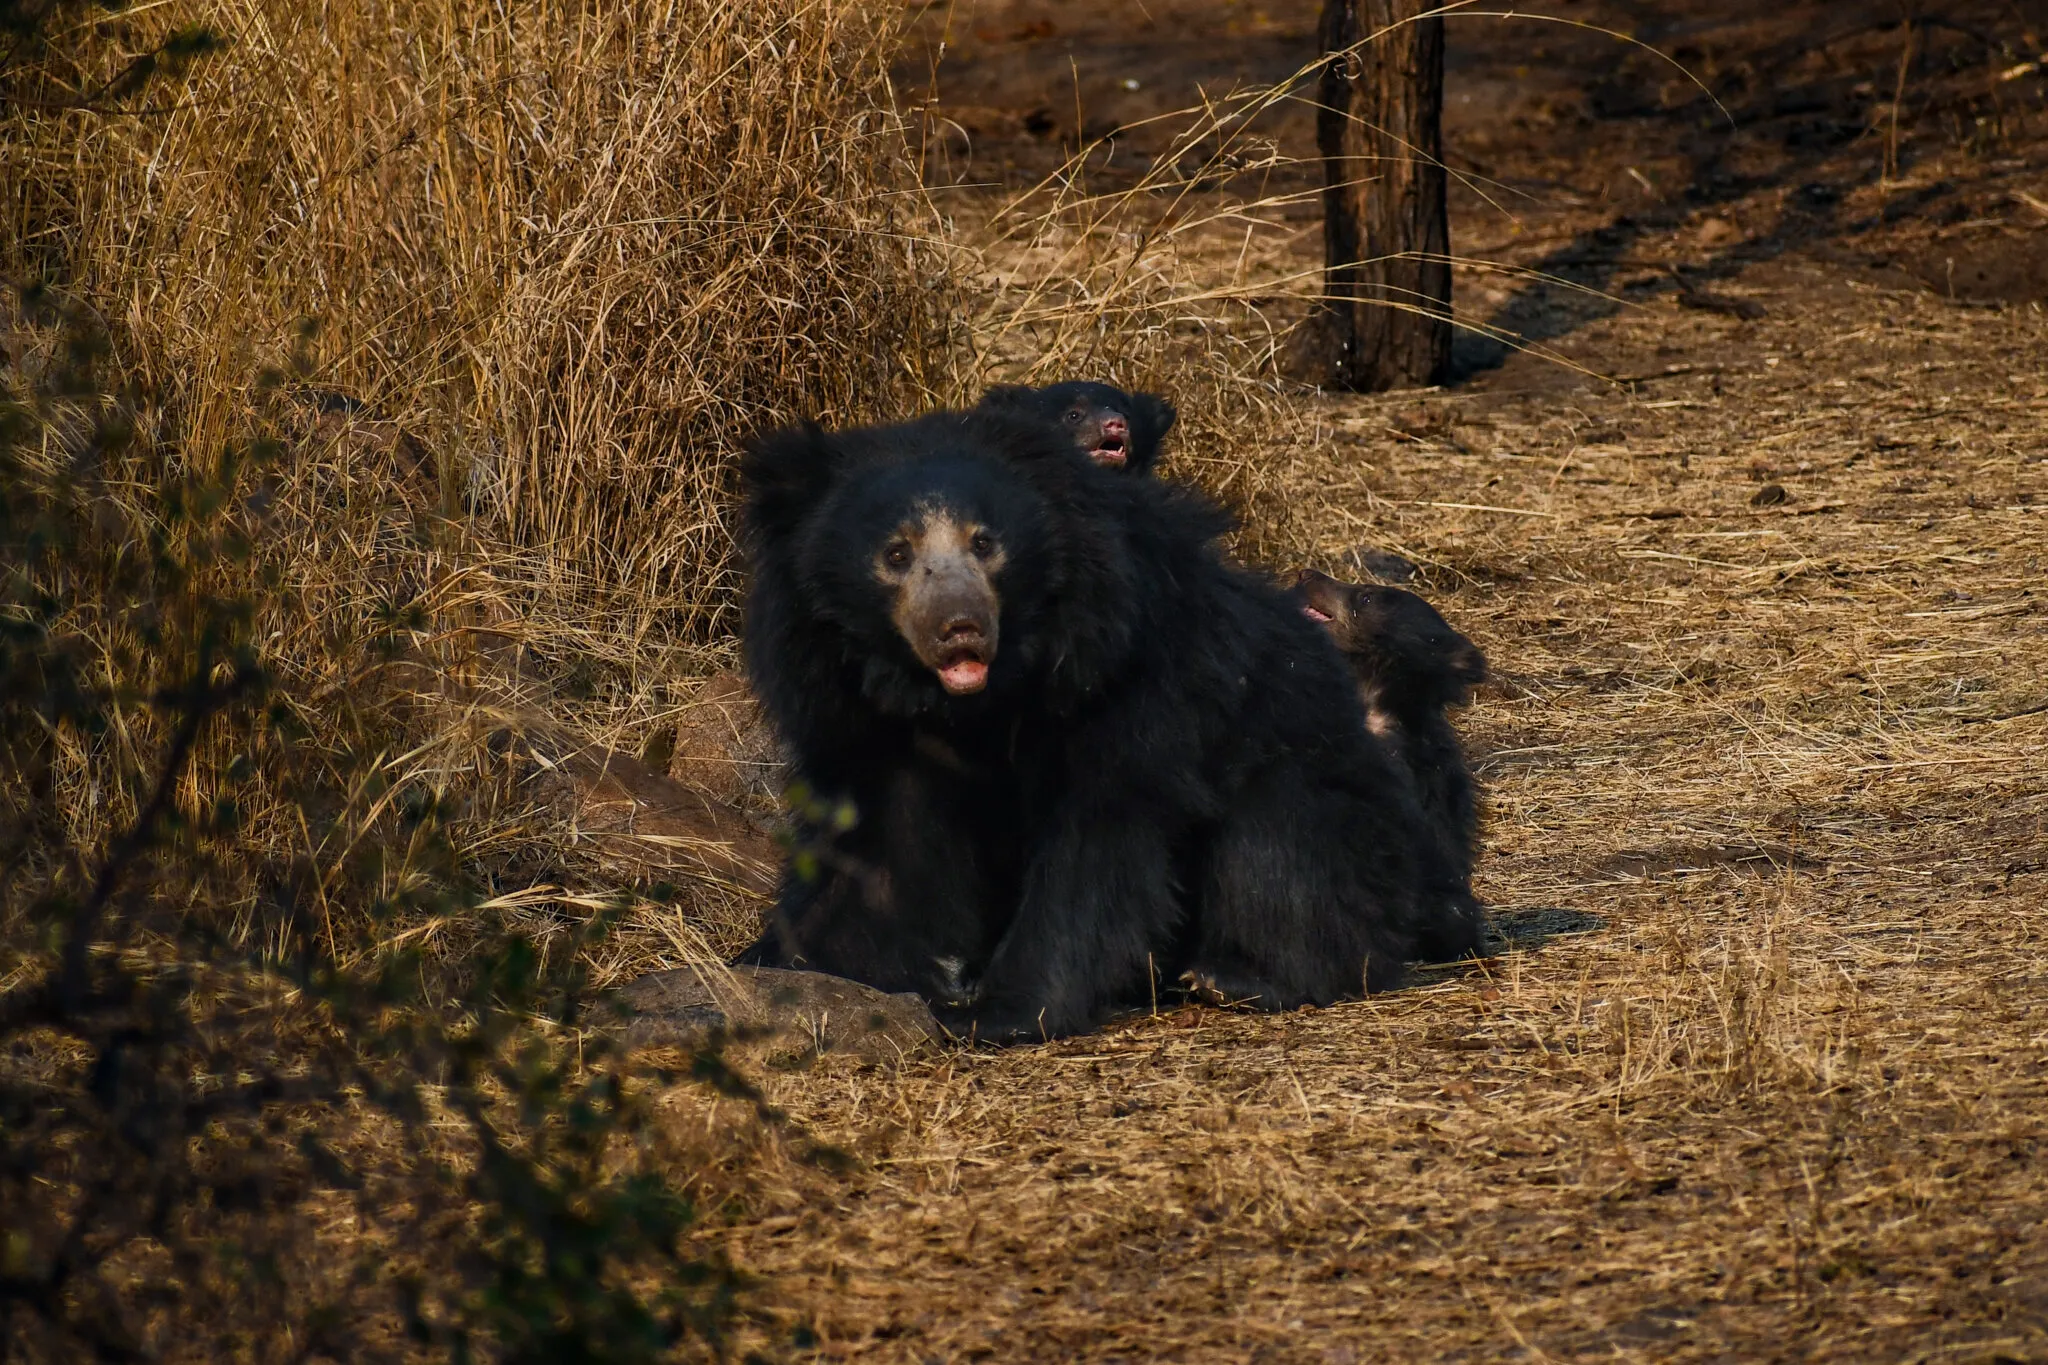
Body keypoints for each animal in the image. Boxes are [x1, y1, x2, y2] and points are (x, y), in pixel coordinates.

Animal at [735, 407, 1459, 1042]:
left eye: (984, 542)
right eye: (895, 554)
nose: (959, 628)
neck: (976, 698)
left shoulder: (1127, 669)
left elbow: (1100, 835)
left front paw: (999, 1014)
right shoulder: (851, 705)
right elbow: (878, 849)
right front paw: (783, 966)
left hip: (1355, 825)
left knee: (1282, 839)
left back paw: (1243, 976)